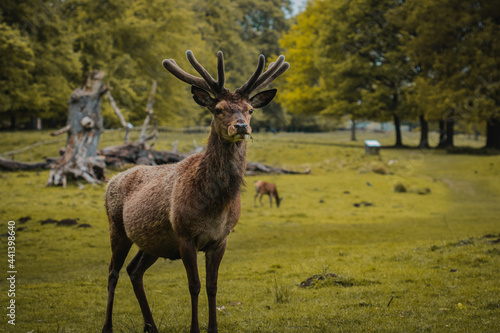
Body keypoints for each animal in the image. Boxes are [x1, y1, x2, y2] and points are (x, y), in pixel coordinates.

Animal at [101, 50, 290, 332]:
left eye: (250, 110)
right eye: (218, 109)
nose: (241, 127)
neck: (214, 207)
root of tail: (110, 180)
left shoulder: (221, 239)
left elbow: (212, 287)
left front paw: (213, 328)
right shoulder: (184, 235)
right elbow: (194, 286)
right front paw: (195, 328)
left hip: (153, 242)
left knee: (134, 270)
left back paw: (150, 326)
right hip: (117, 227)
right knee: (113, 272)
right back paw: (108, 327)